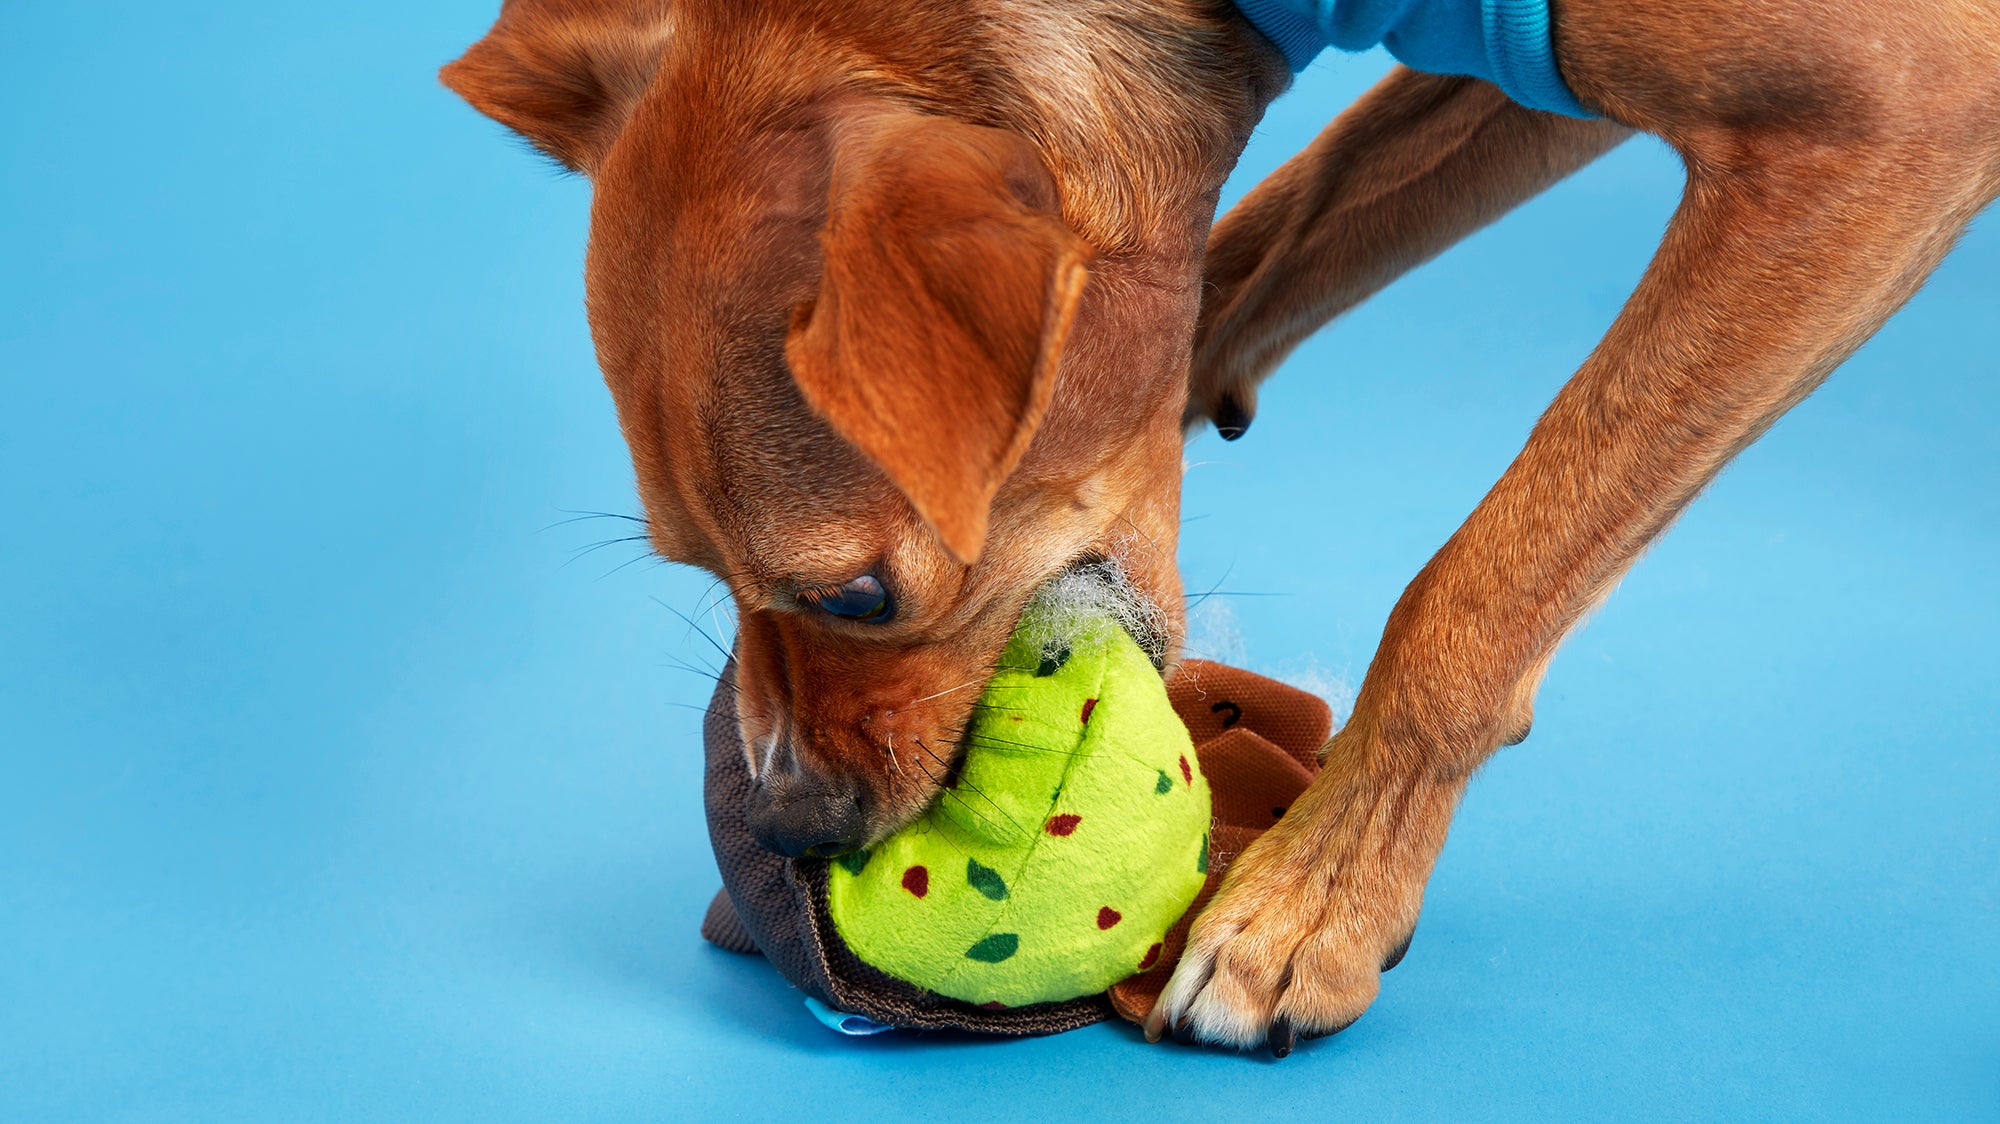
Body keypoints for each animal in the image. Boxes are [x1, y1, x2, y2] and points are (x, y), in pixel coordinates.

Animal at [450, 0, 2000, 1048]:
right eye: (697, 572)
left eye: (857, 600)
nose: (777, 820)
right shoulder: (1525, 88)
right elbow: (1255, 245)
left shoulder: (1883, 122)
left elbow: (1481, 579)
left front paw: (1316, 899)